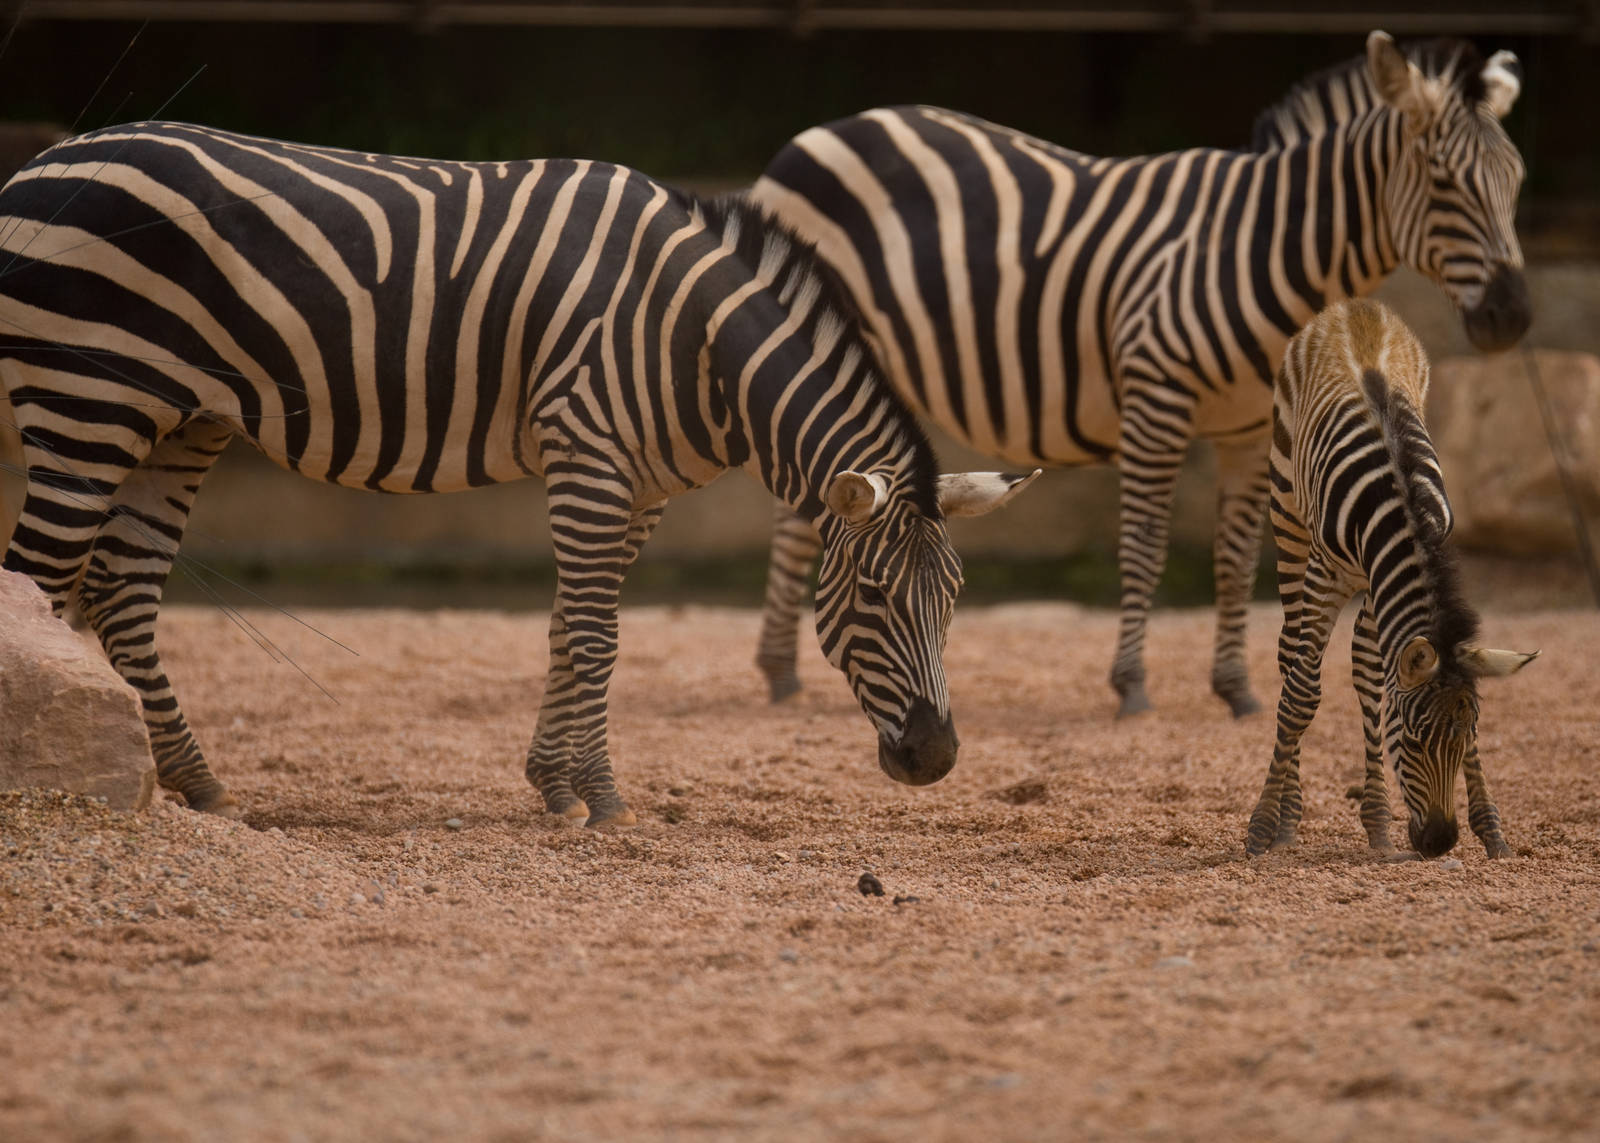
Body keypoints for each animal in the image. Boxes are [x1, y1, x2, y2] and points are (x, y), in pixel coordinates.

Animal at [0, 121, 1039, 825]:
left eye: (953, 598)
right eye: (871, 595)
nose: (937, 758)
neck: (696, 341)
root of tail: (48, 157)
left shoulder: (637, 487)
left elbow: (569, 628)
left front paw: (558, 784)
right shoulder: (589, 455)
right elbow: (597, 637)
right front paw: (601, 801)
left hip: (180, 419)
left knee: (121, 590)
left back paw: (195, 783)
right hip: (89, 399)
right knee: (40, 578)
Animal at [747, 31, 1531, 719]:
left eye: (1517, 181)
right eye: (1443, 182)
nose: (1514, 317)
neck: (1256, 247)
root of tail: (816, 133)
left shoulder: (1249, 427)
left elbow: (1234, 560)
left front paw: (1235, 690)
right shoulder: (1158, 400)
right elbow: (1146, 548)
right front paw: (1130, 685)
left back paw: (781, 667)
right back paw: (780, 671)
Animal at [1245, 298, 1536, 860]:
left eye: (1466, 738)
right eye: (1416, 740)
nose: (1440, 843)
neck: (1402, 500)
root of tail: (1353, 306)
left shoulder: (1393, 575)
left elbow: (1375, 679)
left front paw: (1491, 828)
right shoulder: (1326, 573)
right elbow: (1301, 695)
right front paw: (1263, 826)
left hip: (1372, 590)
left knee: (1364, 667)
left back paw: (1377, 821)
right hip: (1288, 521)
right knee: (1290, 656)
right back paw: (1289, 819)